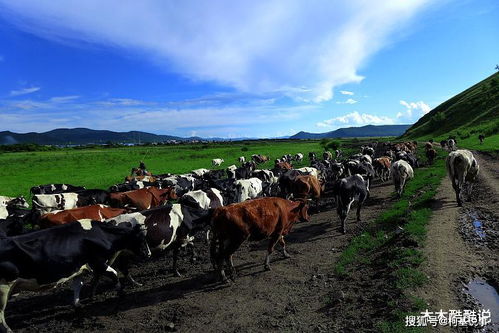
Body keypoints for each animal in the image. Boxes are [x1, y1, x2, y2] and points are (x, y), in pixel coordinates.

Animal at [0, 219, 150, 330]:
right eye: (141, 239)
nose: (148, 254)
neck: (101, 234)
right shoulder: (98, 262)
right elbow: (114, 274)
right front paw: (120, 294)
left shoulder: (78, 267)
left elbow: (79, 285)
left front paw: (79, 305)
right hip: (3, 287)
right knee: (1, 312)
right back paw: (8, 329)